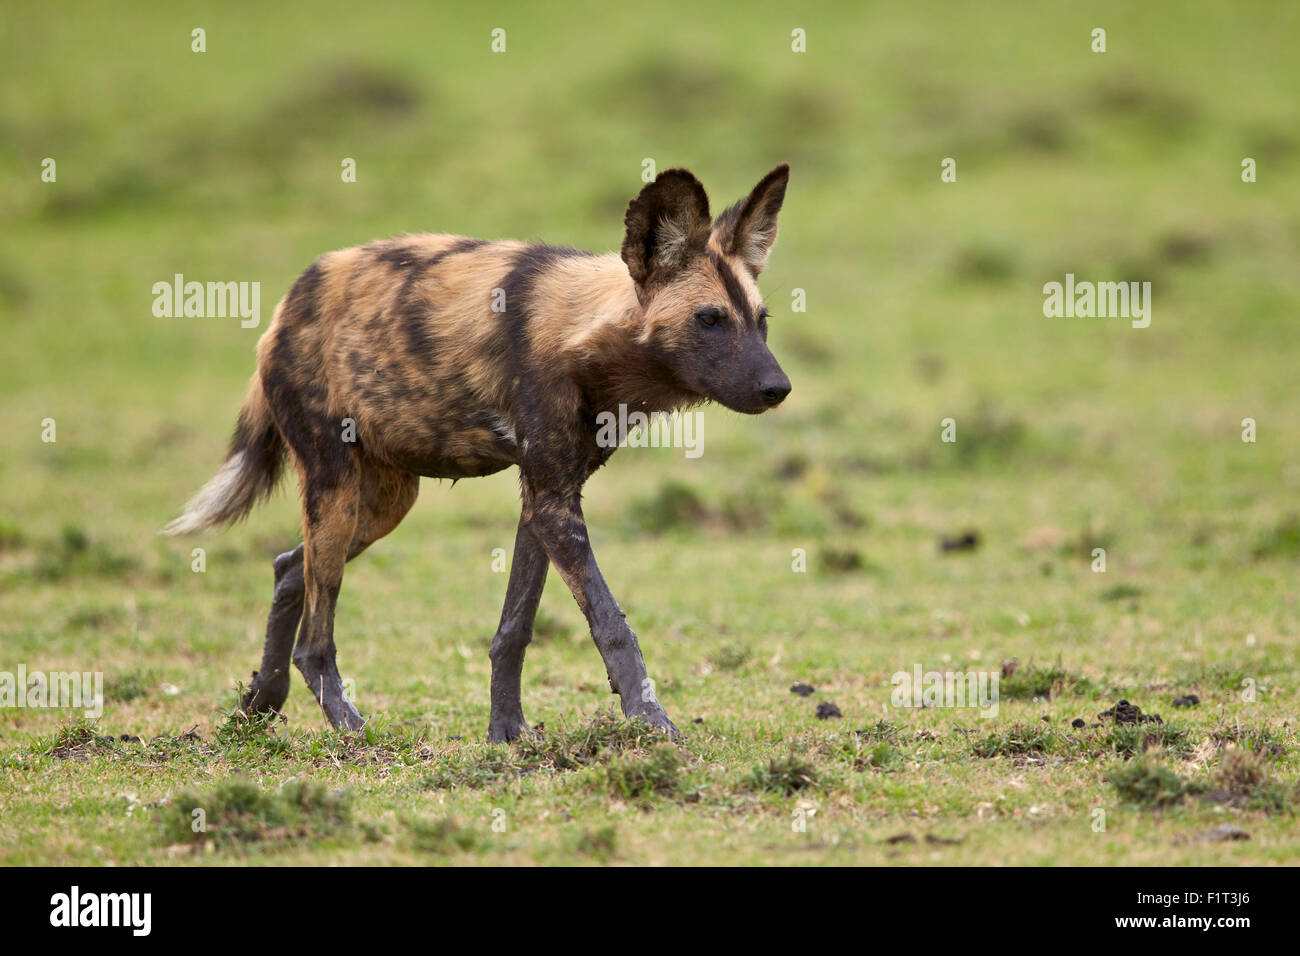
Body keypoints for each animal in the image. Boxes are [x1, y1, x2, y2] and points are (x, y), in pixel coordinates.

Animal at [162, 164, 790, 738]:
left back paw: (259, 705)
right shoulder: (555, 504)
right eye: (708, 319)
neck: (587, 339)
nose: (778, 388)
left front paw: (506, 731)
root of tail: (285, 309)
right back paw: (352, 732)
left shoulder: (546, 498)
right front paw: (651, 722)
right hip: (336, 490)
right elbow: (613, 625)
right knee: (315, 641)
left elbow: (515, 627)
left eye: (761, 321)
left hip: (384, 504)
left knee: (290, 568)